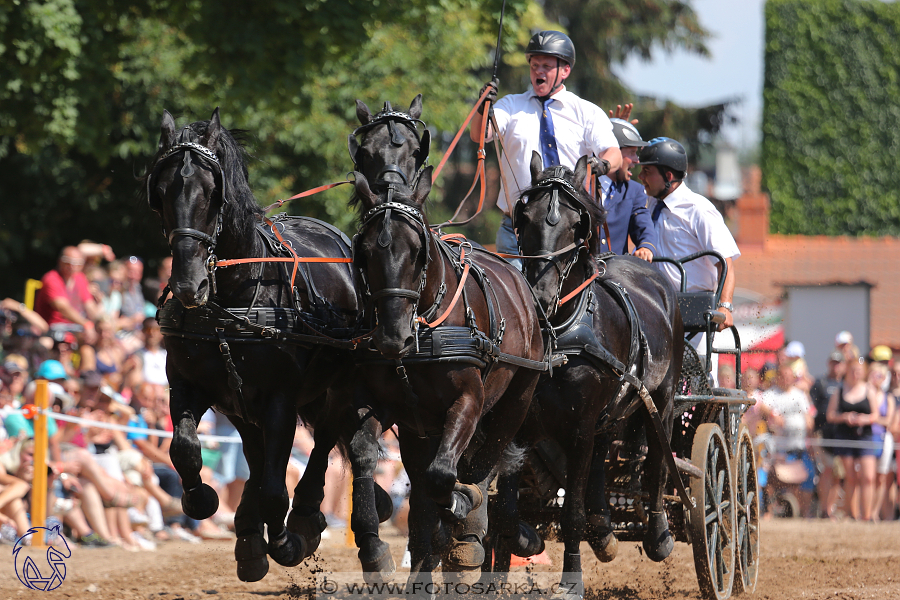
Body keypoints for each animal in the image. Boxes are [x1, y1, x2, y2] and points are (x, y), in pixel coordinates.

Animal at [143, 108, 384, 580]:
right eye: (159, 193)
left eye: (212, 194)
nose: (188, 285)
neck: (231, 301)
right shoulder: (192, 386)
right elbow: (185, 449)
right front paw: (203, 500)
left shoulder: (280, 399)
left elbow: (276, 485)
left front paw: (288, 540)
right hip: (244, 406)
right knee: (257, 458)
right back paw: (251, 534)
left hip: (339, 385)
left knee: (333, 444)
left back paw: (320, 523)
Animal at [496, 152, 684, 596]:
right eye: (524, 217)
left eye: (574, 223)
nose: (541, 296)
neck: (559, 333)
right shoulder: (519, 423)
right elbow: (506, 507)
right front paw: (526, 539)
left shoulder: (578, 428)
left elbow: (572, 515)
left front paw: (571, 580)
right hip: (608, 414)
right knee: (602, 460)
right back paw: (604, 532)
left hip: (661, 401)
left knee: (657, 463)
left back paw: (658, 536)